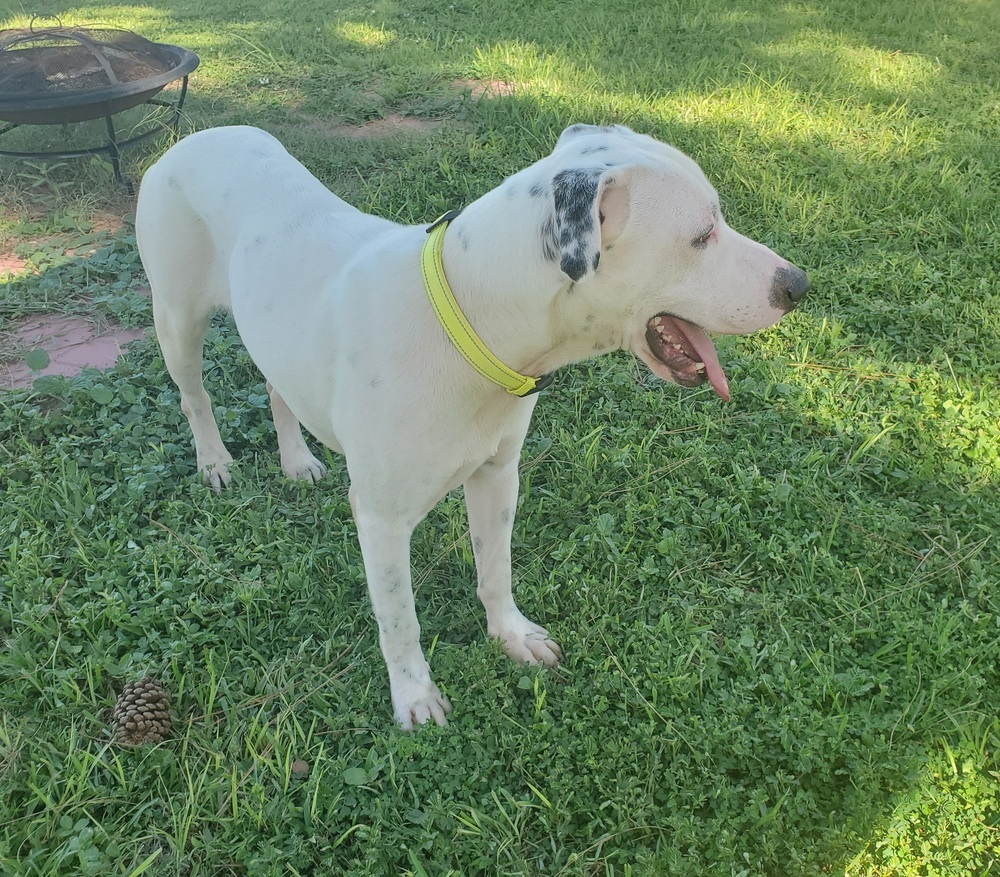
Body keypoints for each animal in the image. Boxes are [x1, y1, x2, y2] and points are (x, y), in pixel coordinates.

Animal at [137, 121, 808, 724]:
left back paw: (296, 459)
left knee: (278, 385)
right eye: (702, 235)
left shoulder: (497, 475)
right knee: (194, 397)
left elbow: (495, 570)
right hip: (177, 322)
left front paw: (511, 636)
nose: (798, 284)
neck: (468, 320)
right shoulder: (381, 520)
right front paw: (413, 697)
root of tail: (191, 137)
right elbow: (399, 619)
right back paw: (214, 462)